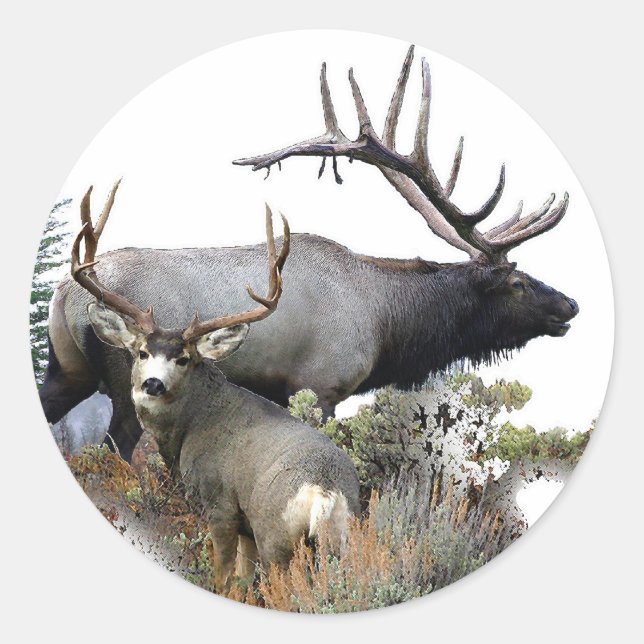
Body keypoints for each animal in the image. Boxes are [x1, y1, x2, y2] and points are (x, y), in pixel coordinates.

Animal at [40, 46, 578, 463]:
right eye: (518, 282)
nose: (570, 304)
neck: (387, 323)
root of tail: (65, 293)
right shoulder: (320, 386)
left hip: (66, 369)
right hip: (129, 381)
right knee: (116, 447)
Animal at [69, 198, 360, 588]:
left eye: (183, 359)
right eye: (142, 352)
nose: (153, 384)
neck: (192, 425)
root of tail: (325, 494)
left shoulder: (220, 504)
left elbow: (224, 577)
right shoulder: (245, 529)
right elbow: (243, 580)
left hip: (275, 536)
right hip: (340, 541)